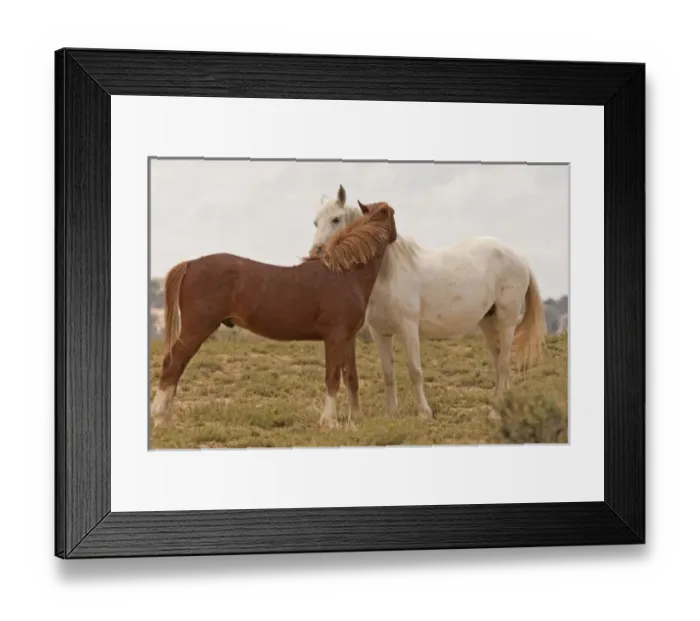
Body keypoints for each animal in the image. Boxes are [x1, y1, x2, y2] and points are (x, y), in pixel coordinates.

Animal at [151, 200, 398, 430]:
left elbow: (351, 377)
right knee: (173, 363)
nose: (395, 237)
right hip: (196, 328)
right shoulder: (335, 338)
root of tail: (190, 264)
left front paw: (356, 419)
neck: (345, 274)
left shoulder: (349, 338)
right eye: (394, 214)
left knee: (178, 366)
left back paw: (168, 418)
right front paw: (329, 421)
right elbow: (332, 378)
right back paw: (161, 417)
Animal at [309, 185, 546, 420]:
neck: (388, 274)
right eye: (315, 222)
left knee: (504, 364)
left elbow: (415, 371)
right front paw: (392, 414)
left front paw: (424, 413)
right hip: (488, 322)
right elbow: (388, 373)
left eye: (336, 219)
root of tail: (520, 259)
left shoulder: (409, 328)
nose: (316, 252)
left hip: (506, 321)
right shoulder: (380, 333)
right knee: (498, 362)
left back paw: (496, 414)